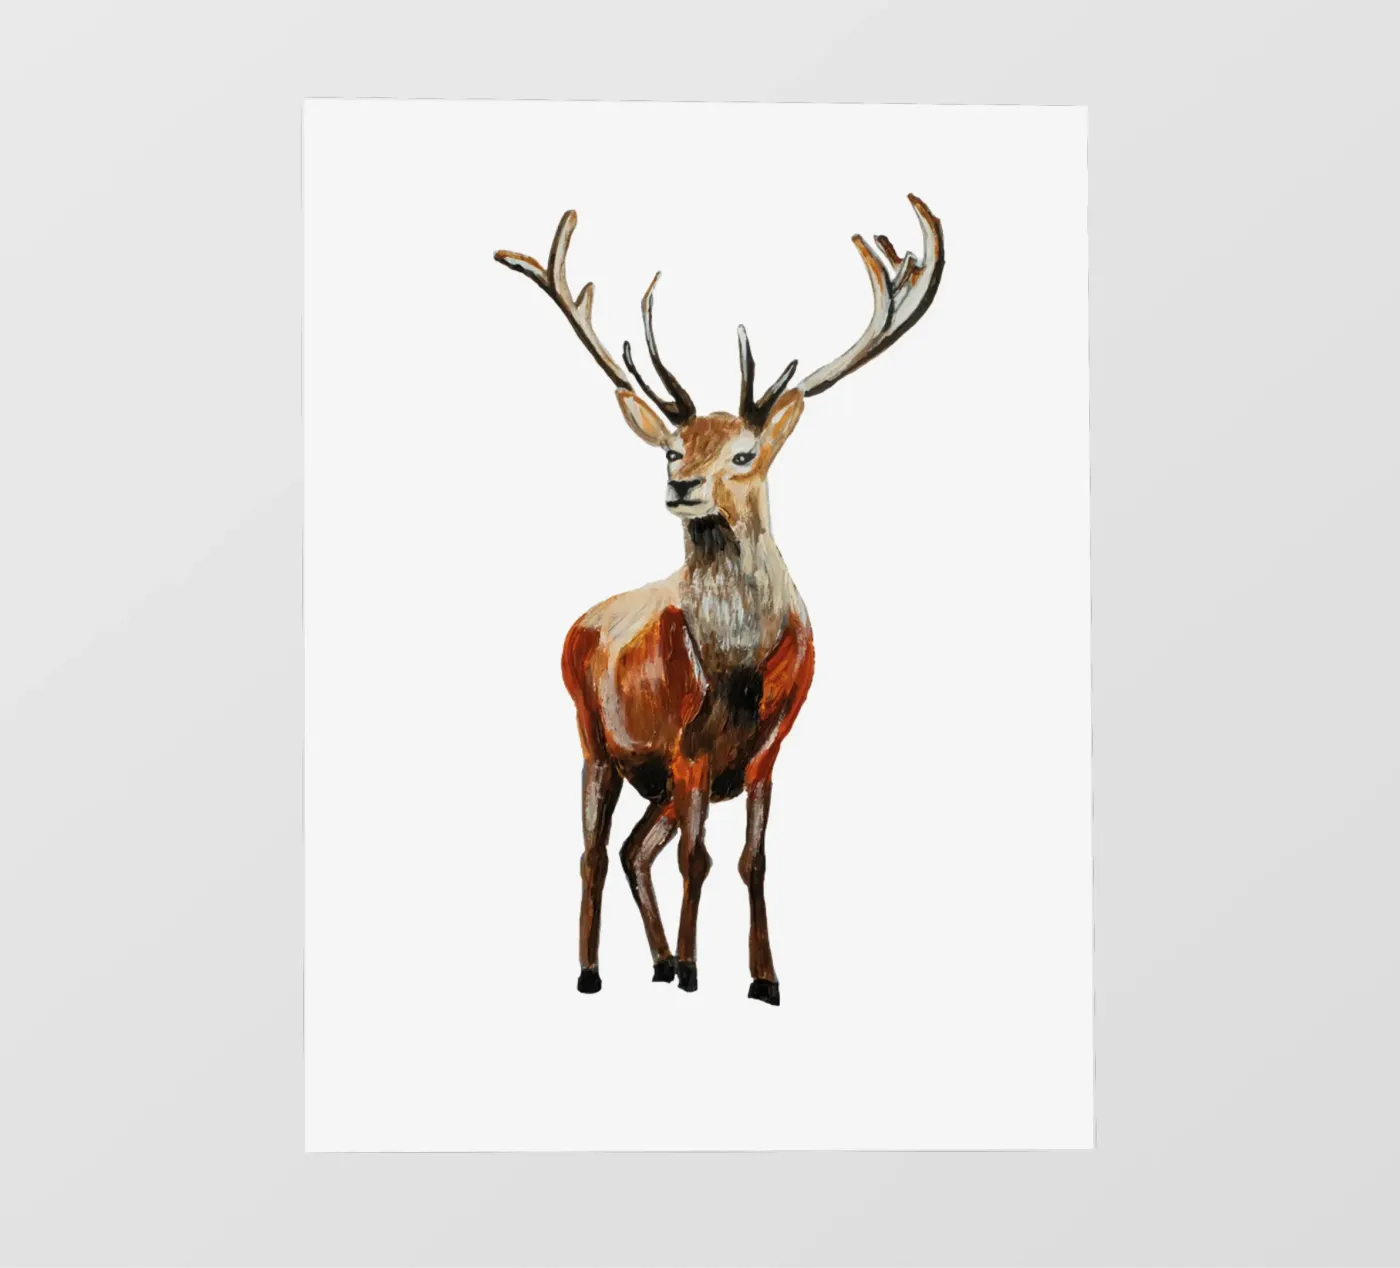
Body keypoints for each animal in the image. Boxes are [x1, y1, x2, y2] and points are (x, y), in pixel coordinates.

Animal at [494, 194, 944, 1005]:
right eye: (673, 448)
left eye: (744, 453)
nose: (681, 486)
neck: (738, 669)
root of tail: (579, 622)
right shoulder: (686, 747)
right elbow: (696, 860)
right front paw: (695, 971)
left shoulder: (768, 749)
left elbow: (751, 861)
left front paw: (763, 978)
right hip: (594, 736)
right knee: (596, 852)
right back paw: (593, 971)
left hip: (653, 778)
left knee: (636, 848)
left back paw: (655, 959)